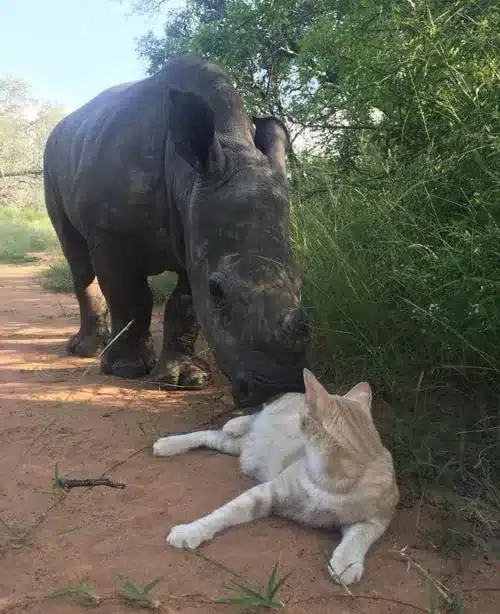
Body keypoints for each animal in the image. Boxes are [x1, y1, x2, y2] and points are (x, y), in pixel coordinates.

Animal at [43, 53, 310, 410]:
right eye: (218, 291)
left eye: (300, 282)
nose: (276, 388)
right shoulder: (111, 230)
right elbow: (129, 295)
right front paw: (127, 369)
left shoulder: (195, 232)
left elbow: (185, 305)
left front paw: (185, 380)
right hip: (52, 158)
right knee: (77, 258)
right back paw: (88, 350)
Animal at [152, 370, 398, 588]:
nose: (298, 422)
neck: (332, 480)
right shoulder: (264, 494)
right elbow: (221, 514)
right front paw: (190, 531)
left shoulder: (377, 520)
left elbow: (358, 537)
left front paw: (346, 564)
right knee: (238, 422)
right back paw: (188, 437)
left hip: (238, 448)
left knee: (212, 435)